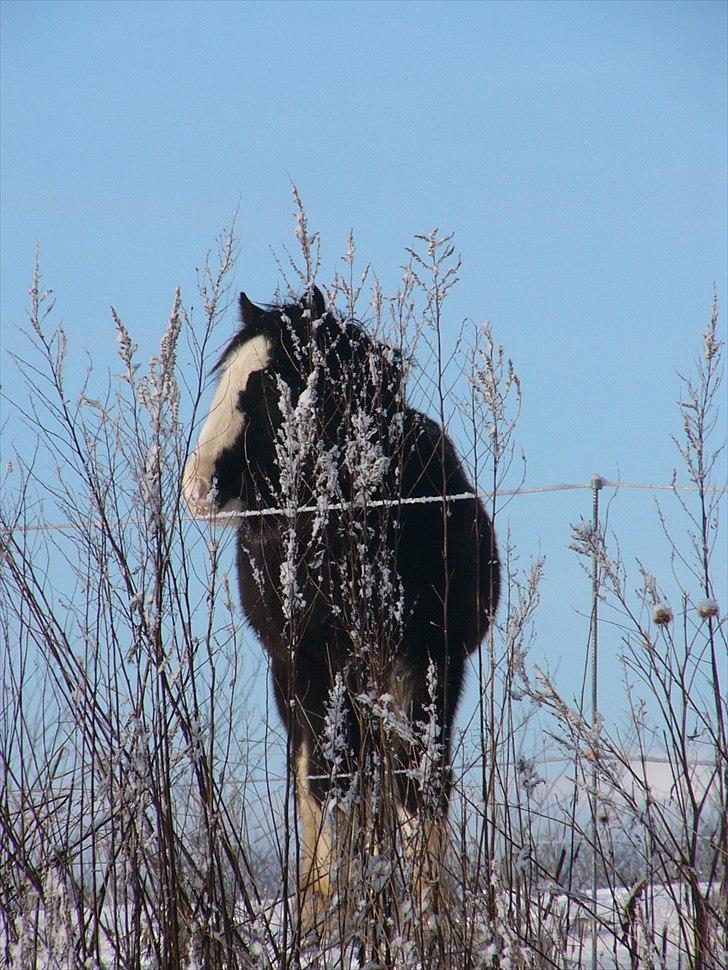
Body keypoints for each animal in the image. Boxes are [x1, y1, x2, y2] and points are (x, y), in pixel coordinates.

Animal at [182, 288, 500, 932]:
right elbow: (327, 785)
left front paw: (429, 913)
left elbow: (420, 782)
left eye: (267, 384)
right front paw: (328, 918)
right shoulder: (310, 665)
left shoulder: (434, 665)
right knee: (320, 781)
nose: (197, 487)